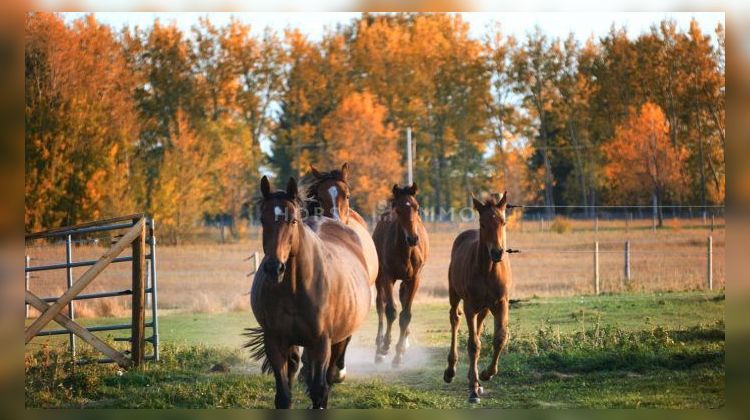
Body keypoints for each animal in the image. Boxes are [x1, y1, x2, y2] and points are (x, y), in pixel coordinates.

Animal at [247, 176, 374, 408]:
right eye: (262, 219)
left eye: (293, 220)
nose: (274, 268)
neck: (294, 289)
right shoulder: (275, 342)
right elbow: (283, 396)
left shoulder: (321, 343)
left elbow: (319, 392)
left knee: (329, 373)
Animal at [372, 182, 428, 366]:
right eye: (398, 210)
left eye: (417, 208)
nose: (413, 238)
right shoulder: (388, 277)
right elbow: (390, 311)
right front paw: (385, 347)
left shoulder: (414, 279)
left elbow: (405, 315)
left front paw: (399, 354)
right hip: (379, 278)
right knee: (380, 305)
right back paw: (379, 349)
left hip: (405, 280)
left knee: (402, 300)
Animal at [444, 193, 516, 404]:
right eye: (483, 223)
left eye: (503, 222)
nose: (497, 252)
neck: (488, 270)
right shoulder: (470, 305)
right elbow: (473, 345)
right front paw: (473, 391)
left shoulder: (501, 304)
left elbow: (500, 338)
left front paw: (486, 374)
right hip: (456, 295)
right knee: (455, 319)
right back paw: (451, 371)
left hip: (484, 308)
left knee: (478, 326)